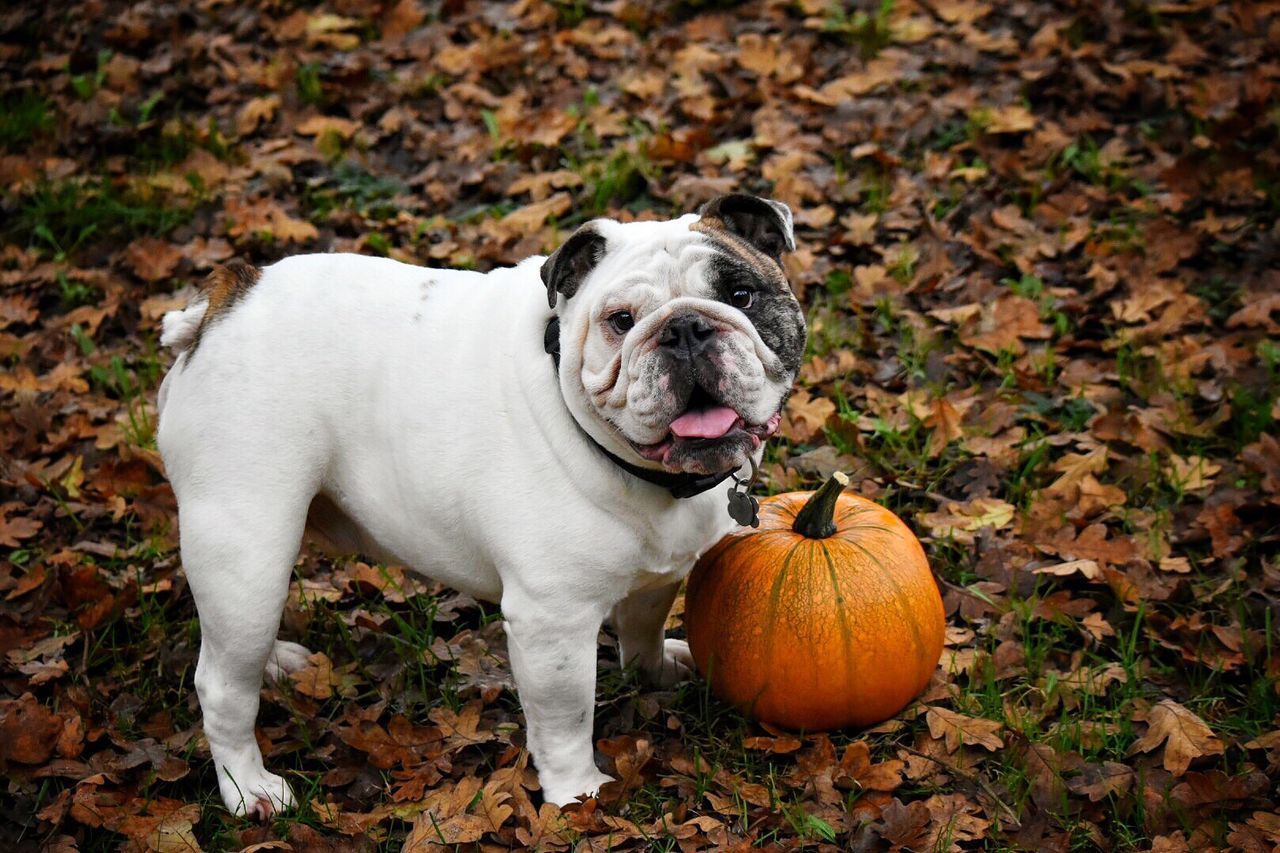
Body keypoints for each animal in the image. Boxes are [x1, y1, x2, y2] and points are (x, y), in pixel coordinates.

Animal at [154, 192, 803, 809]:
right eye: (621, 321)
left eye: (741, 295)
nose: (685, 329)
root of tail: (227, 299)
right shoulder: (551, 623)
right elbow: (566, 716)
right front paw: (577, 794)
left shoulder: (657, 575)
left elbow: (641, 630)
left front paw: (657, 671)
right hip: (247, 551)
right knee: (221, 682)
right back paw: (250, 789)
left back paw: (275, 665)